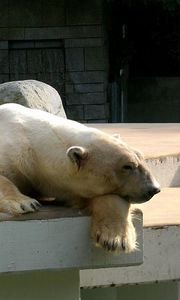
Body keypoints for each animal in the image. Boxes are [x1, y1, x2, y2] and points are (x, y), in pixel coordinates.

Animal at [0, 104, 160, 252]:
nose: (154, 188)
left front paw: (115, 239)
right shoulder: (15, 154)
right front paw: (25, 203)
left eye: (142, 158)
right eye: (128, 166)